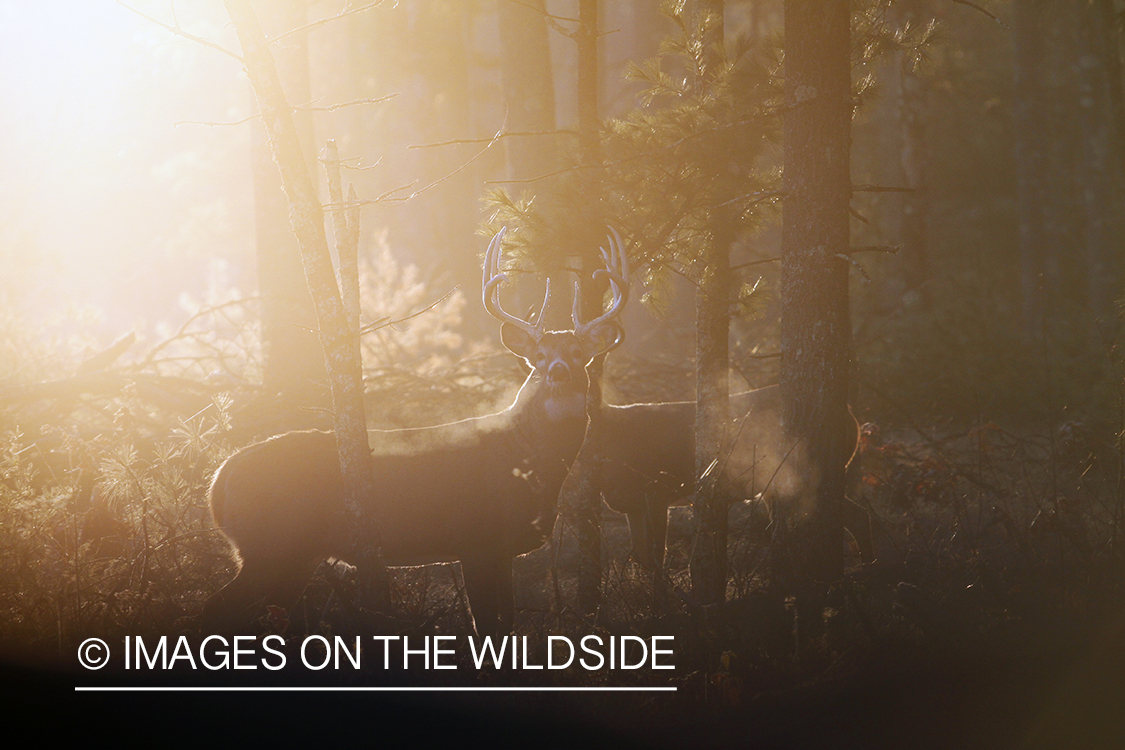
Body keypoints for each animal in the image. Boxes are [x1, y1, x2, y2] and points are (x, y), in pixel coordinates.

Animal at [202, 227, 625, 634]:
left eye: (579, 355)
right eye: (538, 356)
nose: (557, 371)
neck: (527, 459)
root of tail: (219, 480)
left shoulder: (499, 550)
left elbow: (506, 622)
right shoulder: (478, 539)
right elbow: (488, 624)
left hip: (296, 554)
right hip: (270, 545)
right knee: (217, 605)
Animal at [598, 391, 868, 571]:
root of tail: (850, 415)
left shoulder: (657, 491)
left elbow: (656, 556)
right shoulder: (632, 506)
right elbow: (640, 557)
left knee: (855, 517)